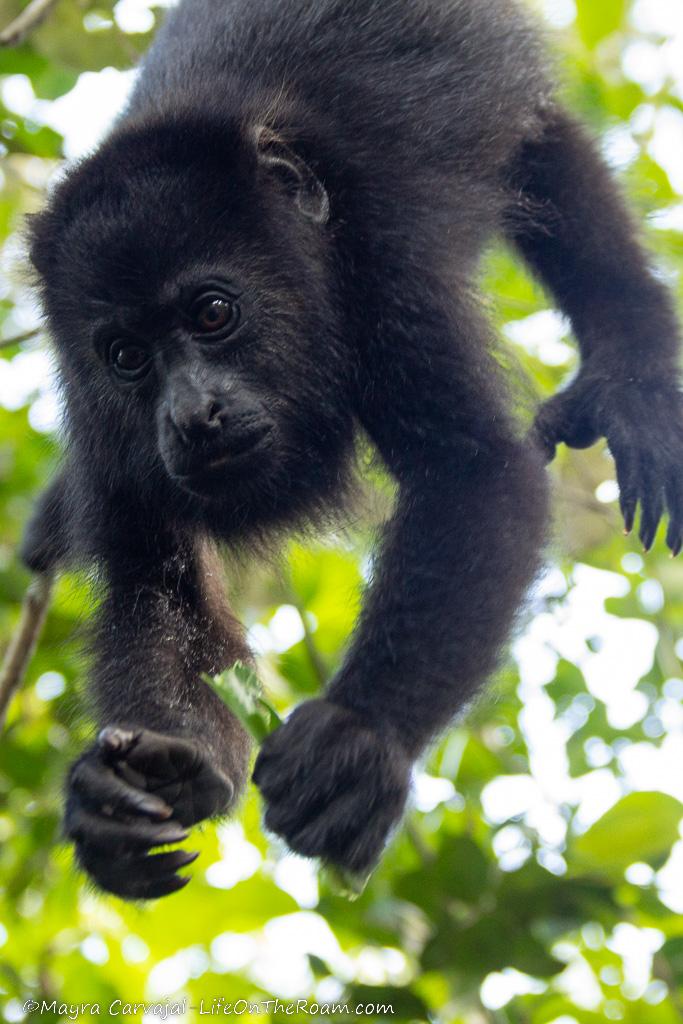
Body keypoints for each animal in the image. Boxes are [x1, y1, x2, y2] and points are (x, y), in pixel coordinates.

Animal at [22, 0, 683, 897]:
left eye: (212, 313)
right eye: (125, 356)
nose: (192, 415)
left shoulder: (380, 274)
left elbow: (474, 472)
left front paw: (361, 737)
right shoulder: (92, 413)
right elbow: (152, 592)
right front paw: (135, 785)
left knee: (548, 152)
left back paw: (630, 371)